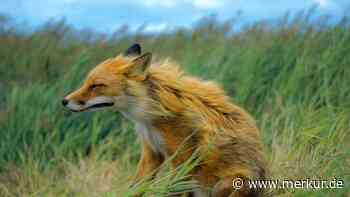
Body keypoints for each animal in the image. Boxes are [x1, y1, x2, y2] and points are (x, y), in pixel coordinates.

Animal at [62, 43, 266, 196]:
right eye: (86, 83)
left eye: (96, 86)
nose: (64, 101)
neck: (151, 118)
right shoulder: (152, 152)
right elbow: (136, 188)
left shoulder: (183, 160)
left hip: (226, 184)